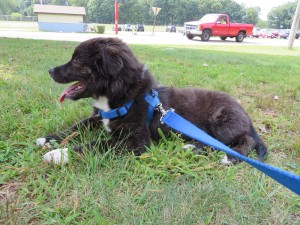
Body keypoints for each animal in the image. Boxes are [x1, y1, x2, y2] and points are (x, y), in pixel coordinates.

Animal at [35, 36, 268, 163]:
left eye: (76, 61)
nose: (49, 70)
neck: (123, 95)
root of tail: (245, 115)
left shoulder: (137, 142)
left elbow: (98, 144)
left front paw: (59, 155)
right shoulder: (98, 118)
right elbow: (75, 127)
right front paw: (49, 139)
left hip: (221, 120)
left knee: (238, 142)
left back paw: (227, 156)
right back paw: (193, 147)